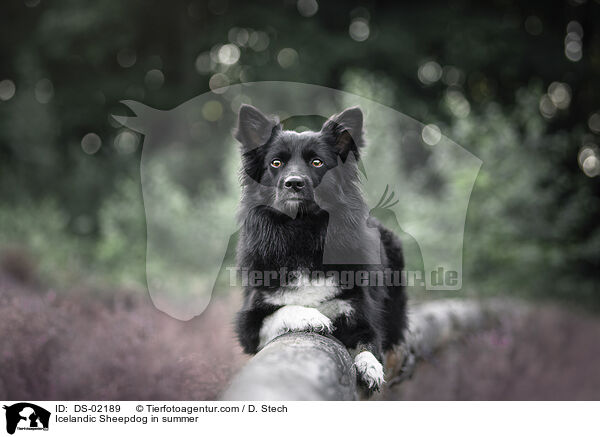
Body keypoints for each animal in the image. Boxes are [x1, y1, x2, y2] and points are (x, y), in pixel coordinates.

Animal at [232, 104, 406, 390]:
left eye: (317, 162)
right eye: (276, 163)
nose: (294, 183)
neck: (302, 231)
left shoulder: (360, 315)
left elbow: (369, 342)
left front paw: (370, 365)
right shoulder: (249, 326)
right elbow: (283, 310)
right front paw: (310, 316)